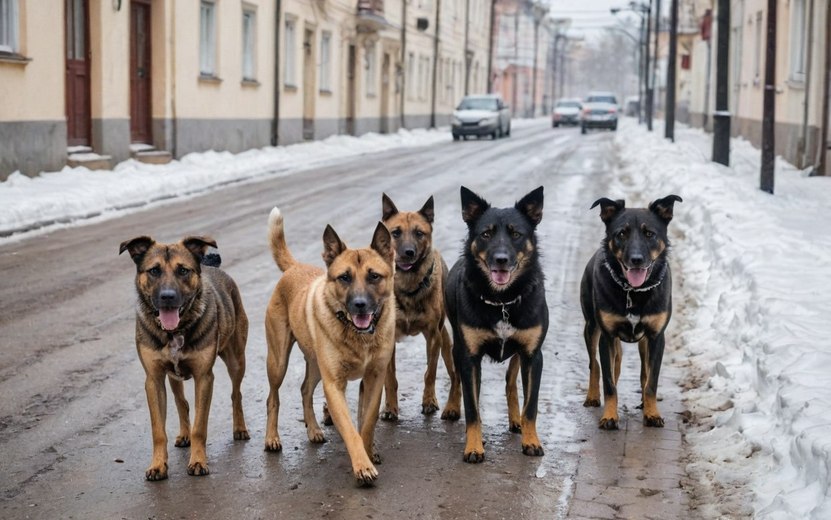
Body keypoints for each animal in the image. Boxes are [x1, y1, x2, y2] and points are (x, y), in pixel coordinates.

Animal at [119, 236, 250, 480]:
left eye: (183, 270)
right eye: (154, 270)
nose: (167, 297)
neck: (174, 331)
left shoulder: (204, 377)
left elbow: (200, 426)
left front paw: (198, 462)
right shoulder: (154, 380)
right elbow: (158, 430)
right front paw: (158, 465)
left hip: (236, 359)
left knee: (236, 394)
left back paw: (239, 428)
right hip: (173, 377)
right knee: (182, 402)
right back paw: (184, 434)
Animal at [264, 208, 398, 488]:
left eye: (374, 276)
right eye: (344, 277)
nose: (359, 305)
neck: (358, 335)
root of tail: (295, 267)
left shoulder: (375, 378)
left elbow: (367, 423)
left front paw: (369, 452)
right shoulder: (334, 385)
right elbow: (350, 429)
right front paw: (362, 467)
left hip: (316, 365)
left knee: (305, 390)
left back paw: (314, 429)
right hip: (278, 362)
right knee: (273, 397)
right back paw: (272, 438)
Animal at [378, 193, 462, 420]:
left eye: (419, 233)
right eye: (396, 233)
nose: (408, 252)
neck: (408, 285)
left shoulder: (433, 336)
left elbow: (430, 373)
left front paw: (429, 401)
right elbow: (390, 378)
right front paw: (390, 408)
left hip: (446, 343)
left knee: (455, 375)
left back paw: (453, 406)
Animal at [446, 185, 548, 462]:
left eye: (516, 234)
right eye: (486, 234)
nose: (500, 259)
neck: (502, 300)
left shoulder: (533, 356)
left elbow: (531, 406)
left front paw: (531, 440)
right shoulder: (469, 357)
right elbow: (472, 408)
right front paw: (473, 446)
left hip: (518, 355)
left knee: (511, 384)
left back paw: (516, 421)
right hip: (457, 347)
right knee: (457, 380)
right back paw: (451, 407)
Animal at [580, 195, 684, 430]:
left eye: (649, 233)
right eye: (621, 233)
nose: (636, 259)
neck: (633, 291)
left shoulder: (656, 337)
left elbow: (651, 381)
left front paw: (652, 413)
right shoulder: (607, 336)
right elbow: (609, 382)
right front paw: (609, 416)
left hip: (643, 343)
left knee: (642, 372)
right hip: (590, 328)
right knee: (595, 364)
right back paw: (593, 396)